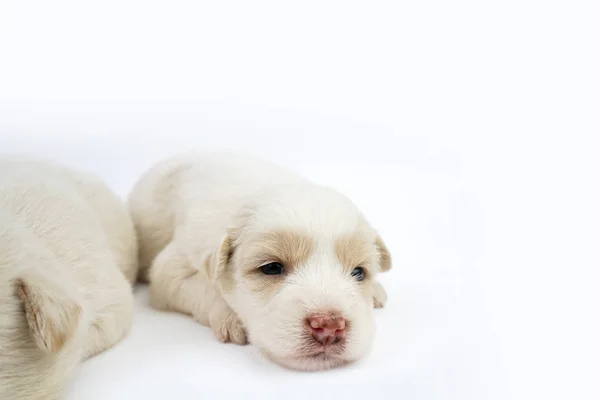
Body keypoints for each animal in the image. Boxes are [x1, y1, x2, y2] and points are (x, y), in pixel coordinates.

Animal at [129, 153, 392, 372]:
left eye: (359, 272)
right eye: (271, 268)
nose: (329, 326)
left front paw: (375, 290)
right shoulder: (171, 267)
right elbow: (201, 287)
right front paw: (230, 319)